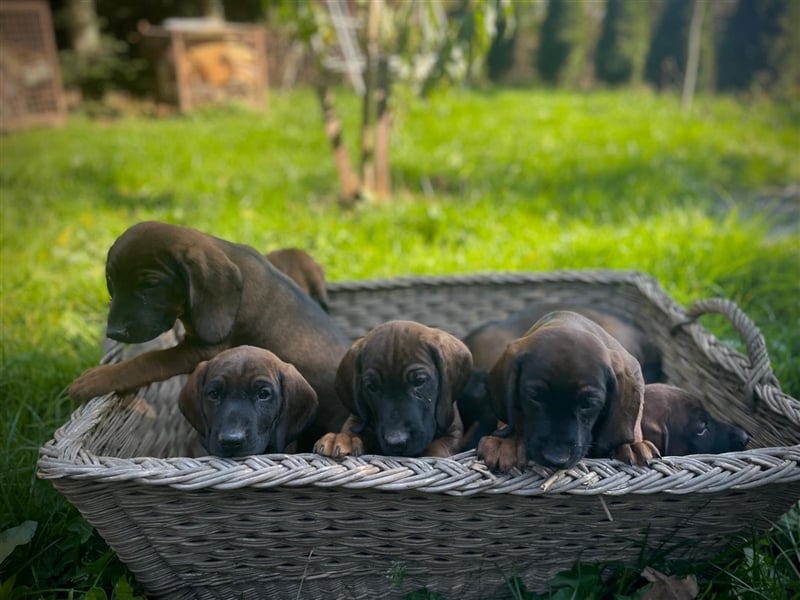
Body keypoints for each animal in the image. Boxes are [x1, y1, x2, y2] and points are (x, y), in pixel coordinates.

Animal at [312, 322, 476, 458]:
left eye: (419, 382)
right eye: (372, 387)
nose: (396, 441)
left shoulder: (452, 434)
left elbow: (437, 449)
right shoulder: (357, 419)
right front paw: (344, 438)